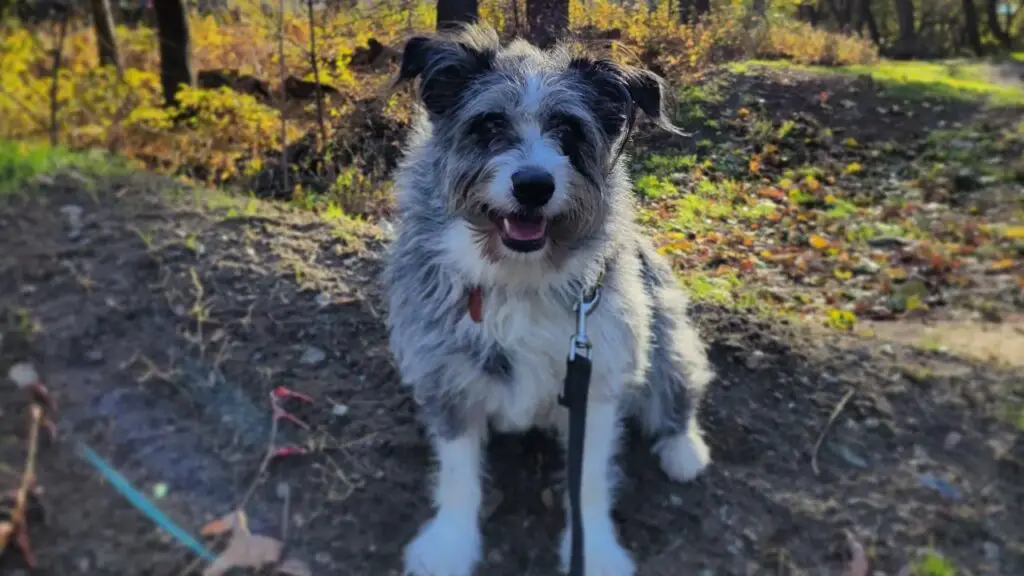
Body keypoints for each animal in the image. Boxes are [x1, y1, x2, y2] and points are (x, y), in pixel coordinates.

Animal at [382, 23, 712, 573]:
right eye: (490, 123)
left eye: (569, 130)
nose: (533, 185)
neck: (518, 275)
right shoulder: (447, 377)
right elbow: (458, 475)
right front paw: (450, 544)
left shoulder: (596, 386)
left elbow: (589, 484)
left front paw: (594, 551)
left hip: (664, 330)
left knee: (680, 382)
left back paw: (683, 448)